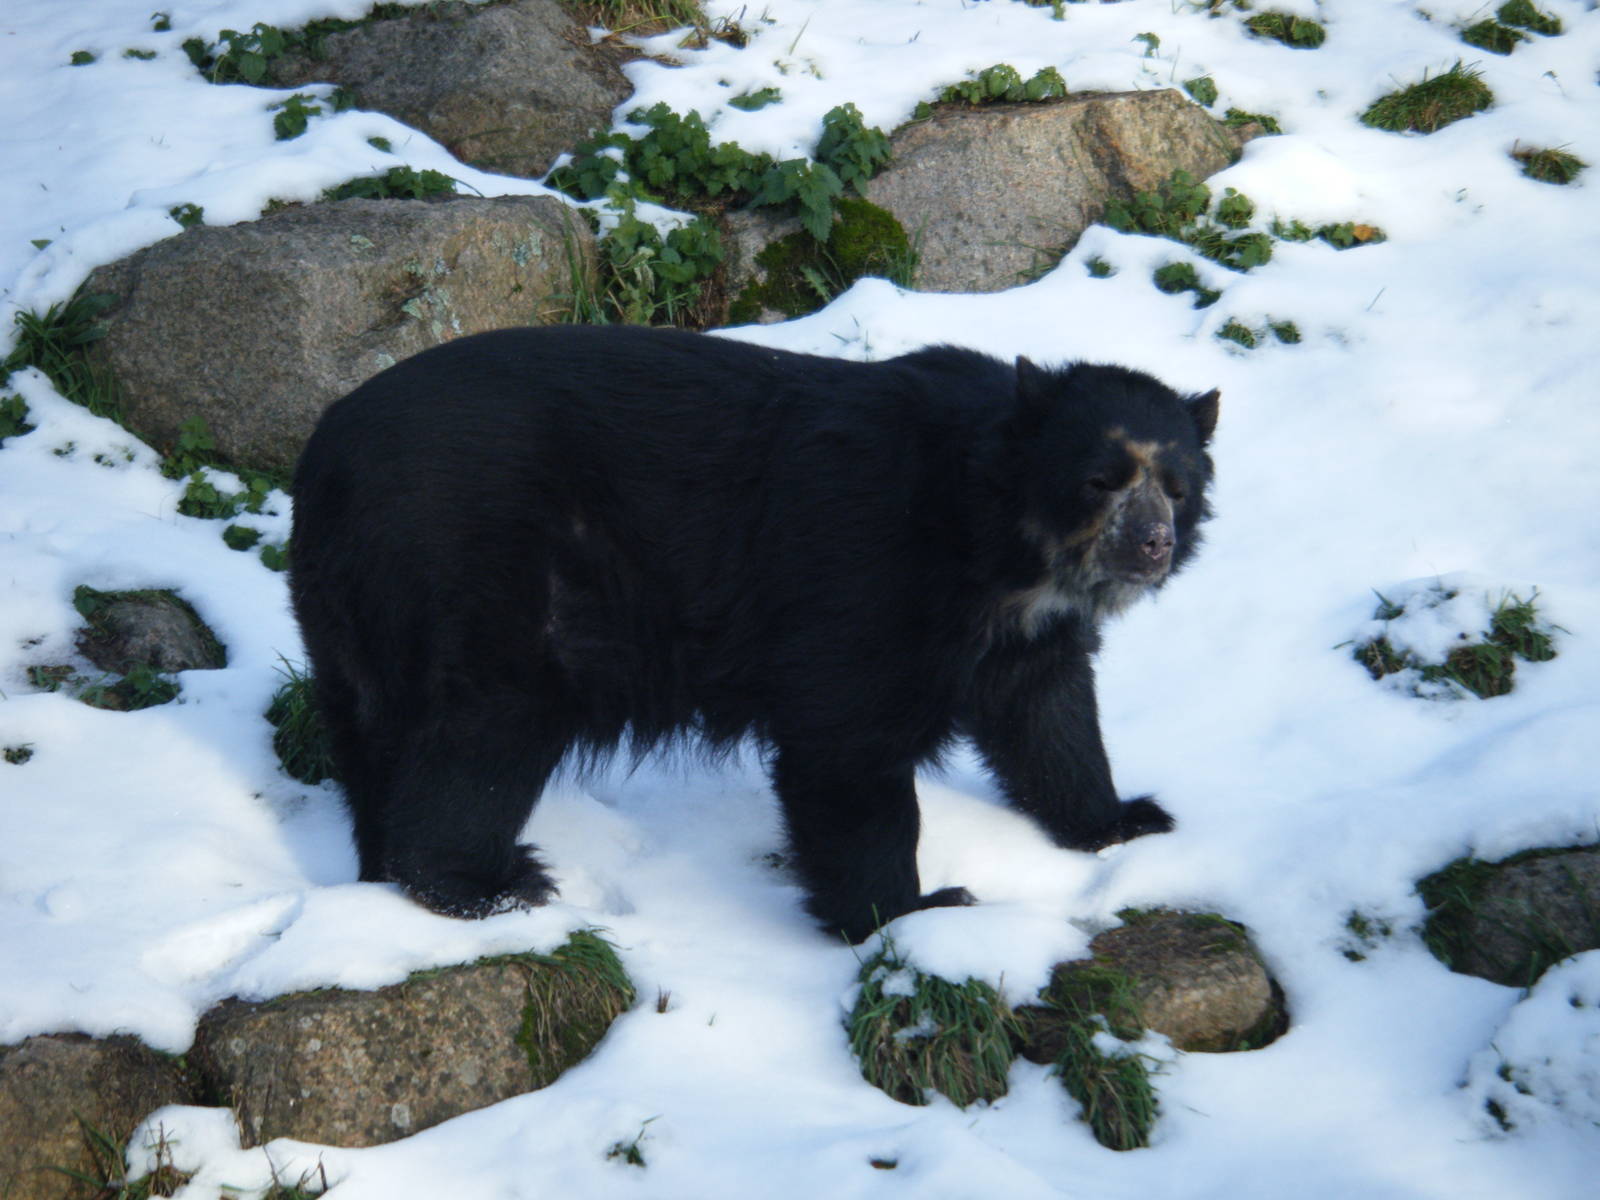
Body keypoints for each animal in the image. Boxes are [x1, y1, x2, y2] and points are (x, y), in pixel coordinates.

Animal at [289, 325, 1218, 943]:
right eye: (1102, 479)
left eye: (1176, 486)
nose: (1153, 545)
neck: (1008, 549)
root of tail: (323, 455)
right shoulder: (869, 572)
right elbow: (846, 746)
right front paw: (912, 909)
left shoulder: (1029, 633)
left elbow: (1049, 717)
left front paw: (1125, 821)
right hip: (486, 573)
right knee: (483, 733)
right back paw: (488, 881)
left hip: (353, 618)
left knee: (377, 739)